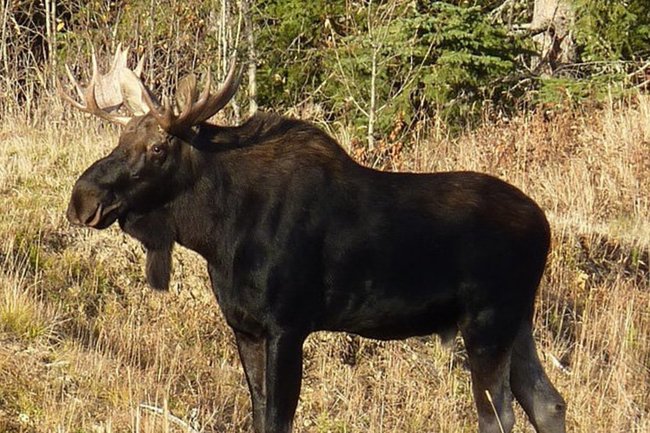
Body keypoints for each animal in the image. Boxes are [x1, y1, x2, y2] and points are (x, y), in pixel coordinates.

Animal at [61, 46, 566, 433]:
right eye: (121, 139)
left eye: (158, 148)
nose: (82, 198)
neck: (218, 234)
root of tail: (544, 227)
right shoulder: (245, 326)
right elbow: (259, 415)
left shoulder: (289, 324)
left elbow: (278, 419)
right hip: (517, 321)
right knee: (548, 402)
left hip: (487, 322)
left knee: (499, 416)